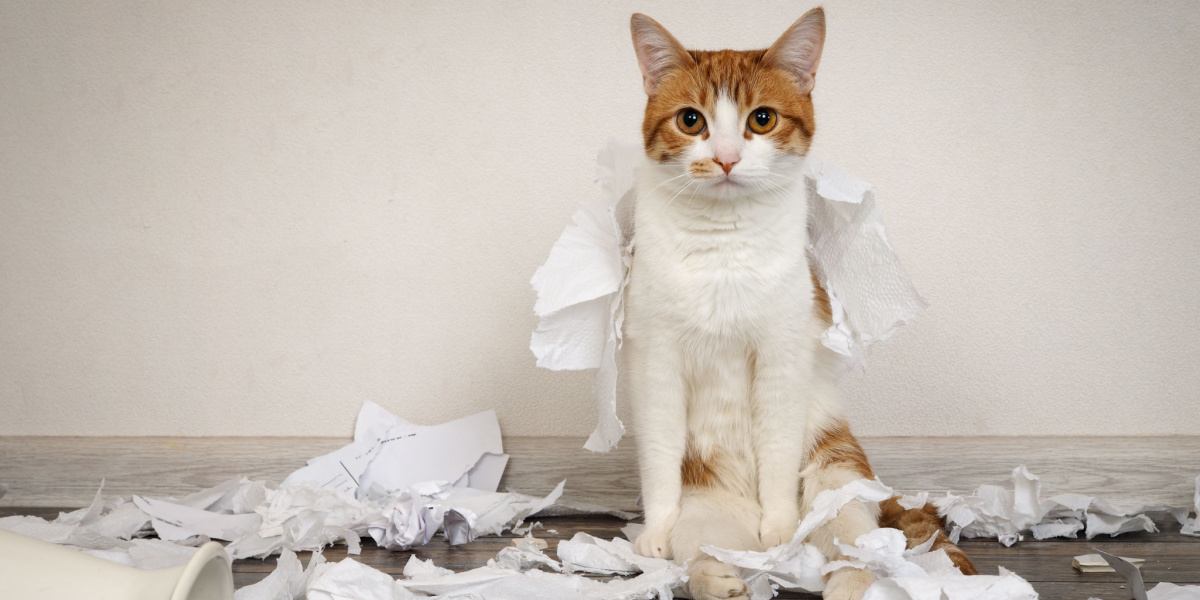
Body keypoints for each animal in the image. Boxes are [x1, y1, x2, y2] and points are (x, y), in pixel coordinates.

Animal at [624, 9, 979, 600]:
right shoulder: (656, 359)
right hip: (711, 511)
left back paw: (829, 570)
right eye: (691, 121)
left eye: (762, 119)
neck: (724, 245)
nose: (725, 158)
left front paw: (781, 526)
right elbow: (658, 453)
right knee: (705, 548)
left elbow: (776, 448)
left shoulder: (781, 357)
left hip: (836, 471)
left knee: (853, 547)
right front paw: (655, 531)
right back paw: (722, 576)